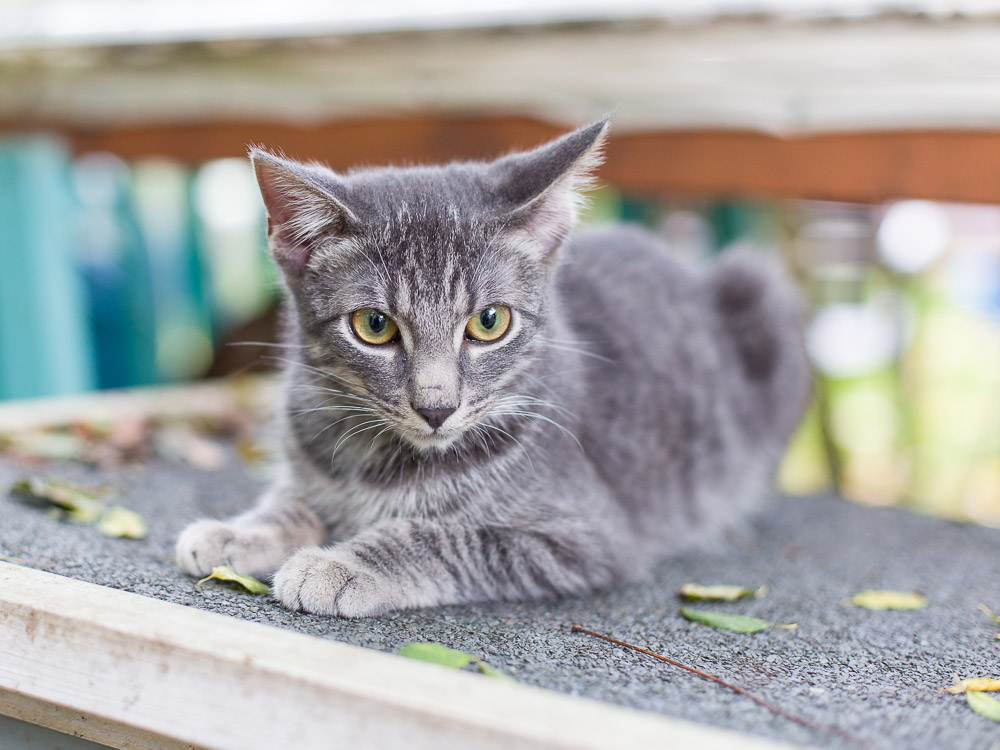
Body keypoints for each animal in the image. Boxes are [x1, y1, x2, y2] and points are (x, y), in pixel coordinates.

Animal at [174, 117, 812, 620]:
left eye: (489, 322)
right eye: (374, 326)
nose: (436, 407)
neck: (379, 462)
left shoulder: (585, 537)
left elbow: (444, 537)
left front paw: (341, 566)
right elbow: (293, 500)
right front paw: (240, 530)